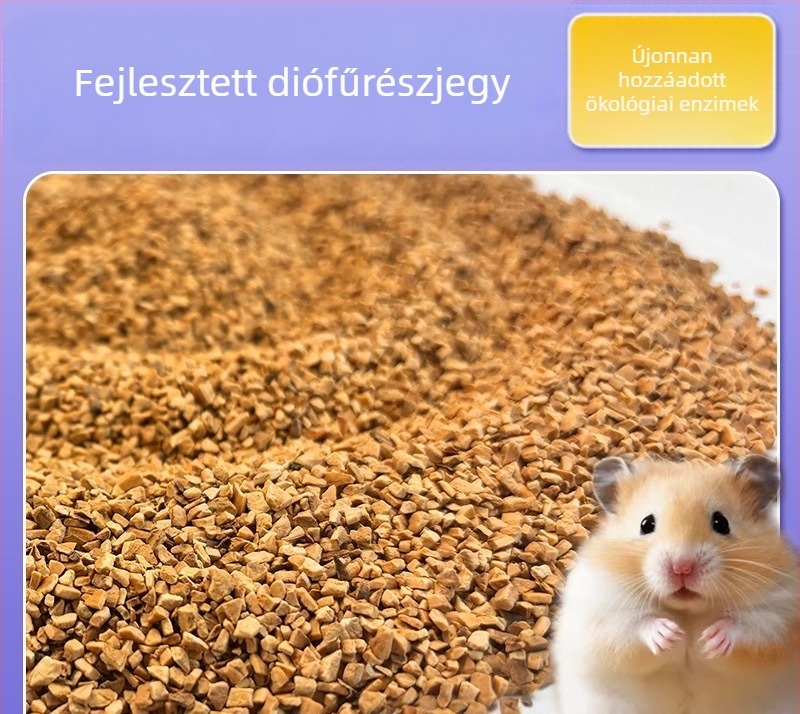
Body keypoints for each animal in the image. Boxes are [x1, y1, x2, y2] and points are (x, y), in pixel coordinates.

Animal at [531, 455, 799, 714]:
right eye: (646, 524)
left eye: (721, 523)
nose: (682, 567)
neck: (687, 610)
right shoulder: (601, 612)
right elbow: (633, 626)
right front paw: (672, 634)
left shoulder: (781, 613)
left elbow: (752, 628)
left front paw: (708, 639)